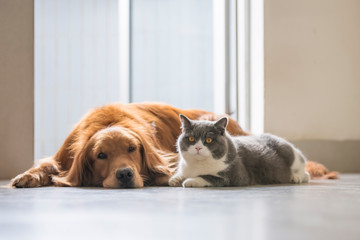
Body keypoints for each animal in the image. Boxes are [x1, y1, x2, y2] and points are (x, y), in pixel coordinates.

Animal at [169, 115, 310, 188]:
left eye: (208, 140)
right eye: (191, 139)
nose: (198, 148)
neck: (198, 165)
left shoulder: (236, 176)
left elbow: (209, 177)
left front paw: (190, 181)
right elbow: (180, 174)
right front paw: (174, 180)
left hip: (292, 156)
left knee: (305, 173)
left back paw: (295, 177)